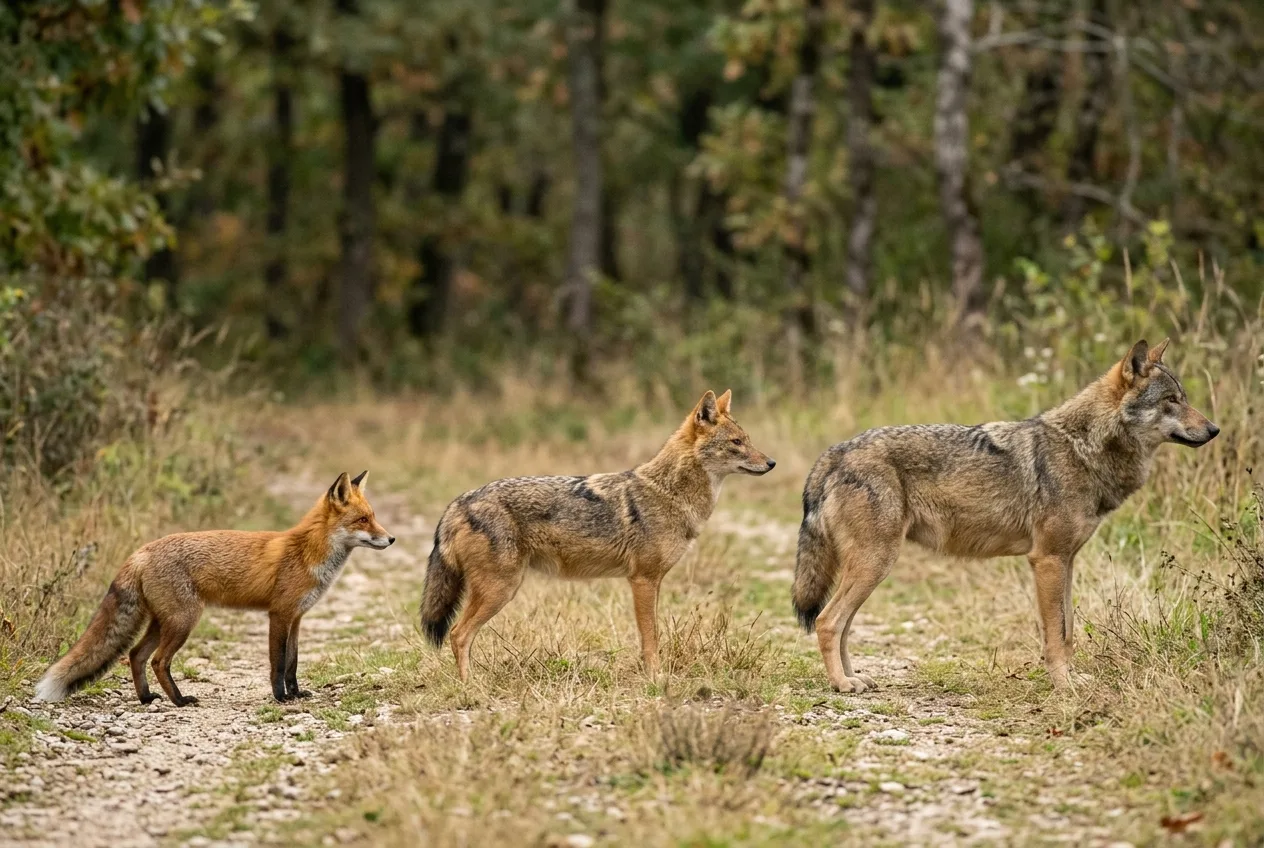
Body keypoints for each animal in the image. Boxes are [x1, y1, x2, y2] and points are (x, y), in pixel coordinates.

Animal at [35, 471, 394, 706]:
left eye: (373, 516)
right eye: (363, 520)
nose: (391, 539)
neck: (308, 552)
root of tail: (142, 551)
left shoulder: (297, 618)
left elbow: (293, 662)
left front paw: (295, 693)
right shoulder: (278, 615)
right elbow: (278, 664)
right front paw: (280, 697)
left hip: (163, 621)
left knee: (135, 655)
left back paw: (147, 698)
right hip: (184, 621)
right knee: (158, 661)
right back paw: (180, 700)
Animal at [420, 389, 776, 682]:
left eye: (748, 439)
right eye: (737, 443)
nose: (772, 462)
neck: (670, 493)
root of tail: (458, 502)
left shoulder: (655, 581)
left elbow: (653, 634)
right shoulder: (642, 580)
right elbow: (651, 637)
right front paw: (655, 679)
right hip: (500, 590)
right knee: (458, 634)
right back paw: (471, 687)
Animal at [793, 339, 1219, 692]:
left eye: (1183, 398)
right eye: (1171, 401)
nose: (1214, 429)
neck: (1083, 448)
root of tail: (836, 452)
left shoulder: (1066, 561)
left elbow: (1067, 632)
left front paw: (1072, 678)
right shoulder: (1047, 560)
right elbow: (1055, 635)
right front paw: (1064, 686)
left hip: (869, 568)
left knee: (842, 625)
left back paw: (853, 678)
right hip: (876, 563)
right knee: (828, 621)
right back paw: (842, 685)